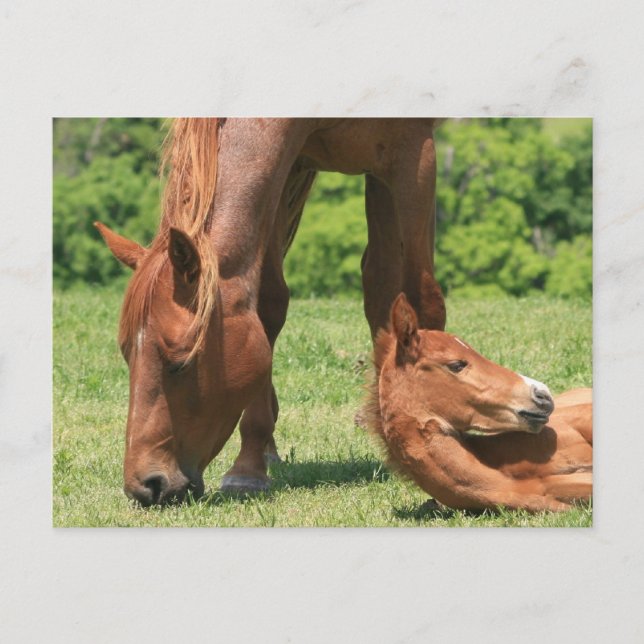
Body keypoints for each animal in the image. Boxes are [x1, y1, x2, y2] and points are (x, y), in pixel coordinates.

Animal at [96, 118, 447, 505]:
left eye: (181, 362)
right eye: (127, 356)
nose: (146, 486)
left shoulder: (414, 155)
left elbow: (422, 297)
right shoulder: (286, 166)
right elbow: (268, 305)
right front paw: (248, 467)